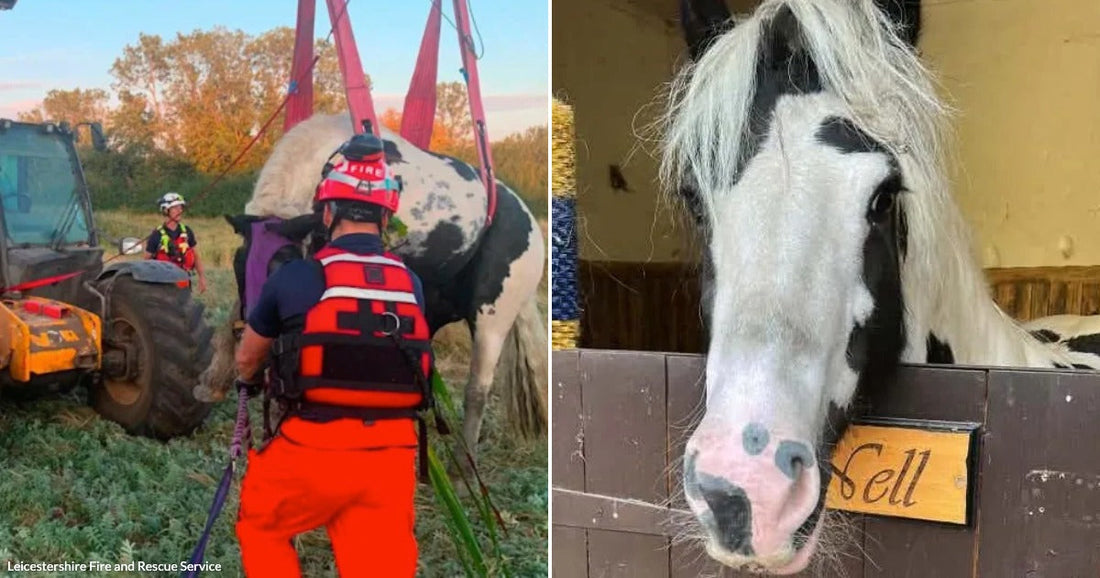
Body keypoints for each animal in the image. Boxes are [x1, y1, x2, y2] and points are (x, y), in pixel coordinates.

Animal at [195, 112, 548, 466]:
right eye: (238, 267)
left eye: (284, 266)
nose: (254, 363)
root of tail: (528, 219)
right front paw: (212, 383)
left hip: (492, 315)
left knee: (477, 390)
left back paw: (463, 466)